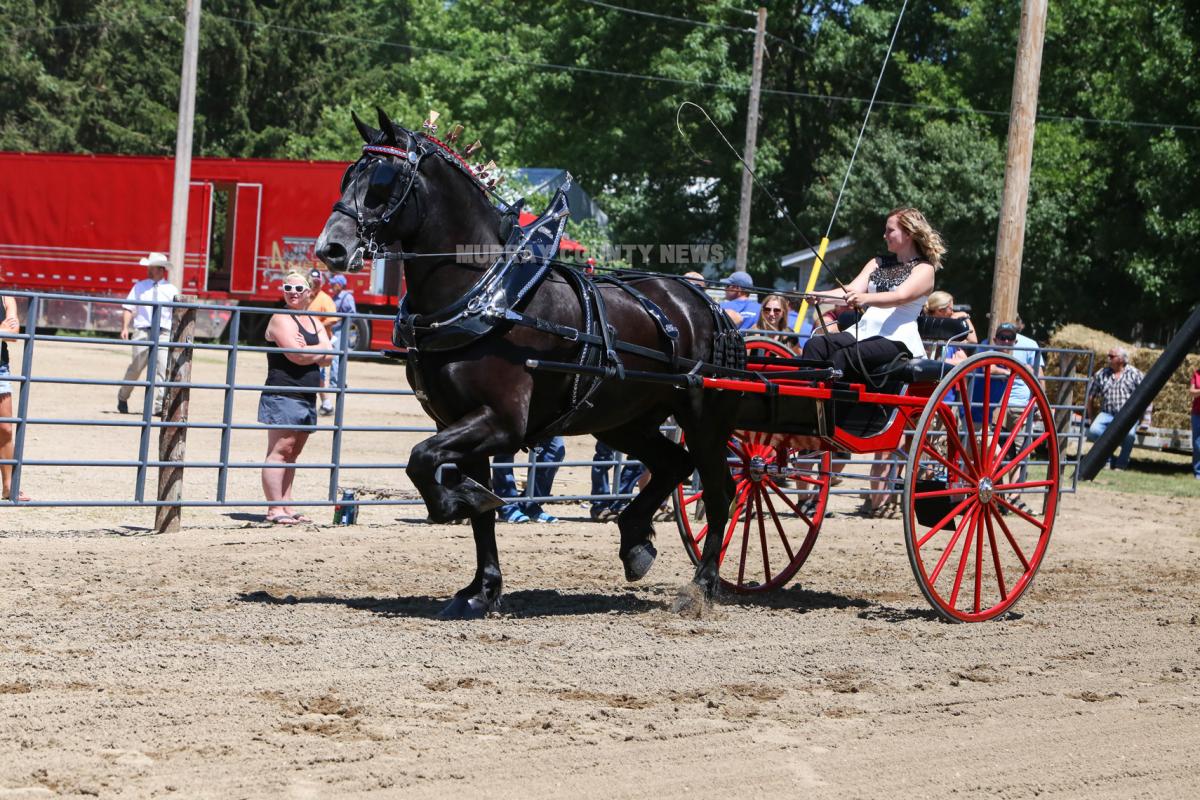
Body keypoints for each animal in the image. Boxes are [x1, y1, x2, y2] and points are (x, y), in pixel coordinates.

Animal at [315, 109, 742, 619]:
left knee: (720, 493)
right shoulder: (458, 422)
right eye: (346, 176)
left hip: (703, 420)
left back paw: (702, 585)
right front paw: (481, 589)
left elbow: (421, 460)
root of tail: (707, 304)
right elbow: (471, 506)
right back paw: (635, 542)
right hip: (623, 420)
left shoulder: (502, 421)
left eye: (383, 179)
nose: (330, 248)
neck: (486, 294)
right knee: (674, 464)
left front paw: (460, 504)